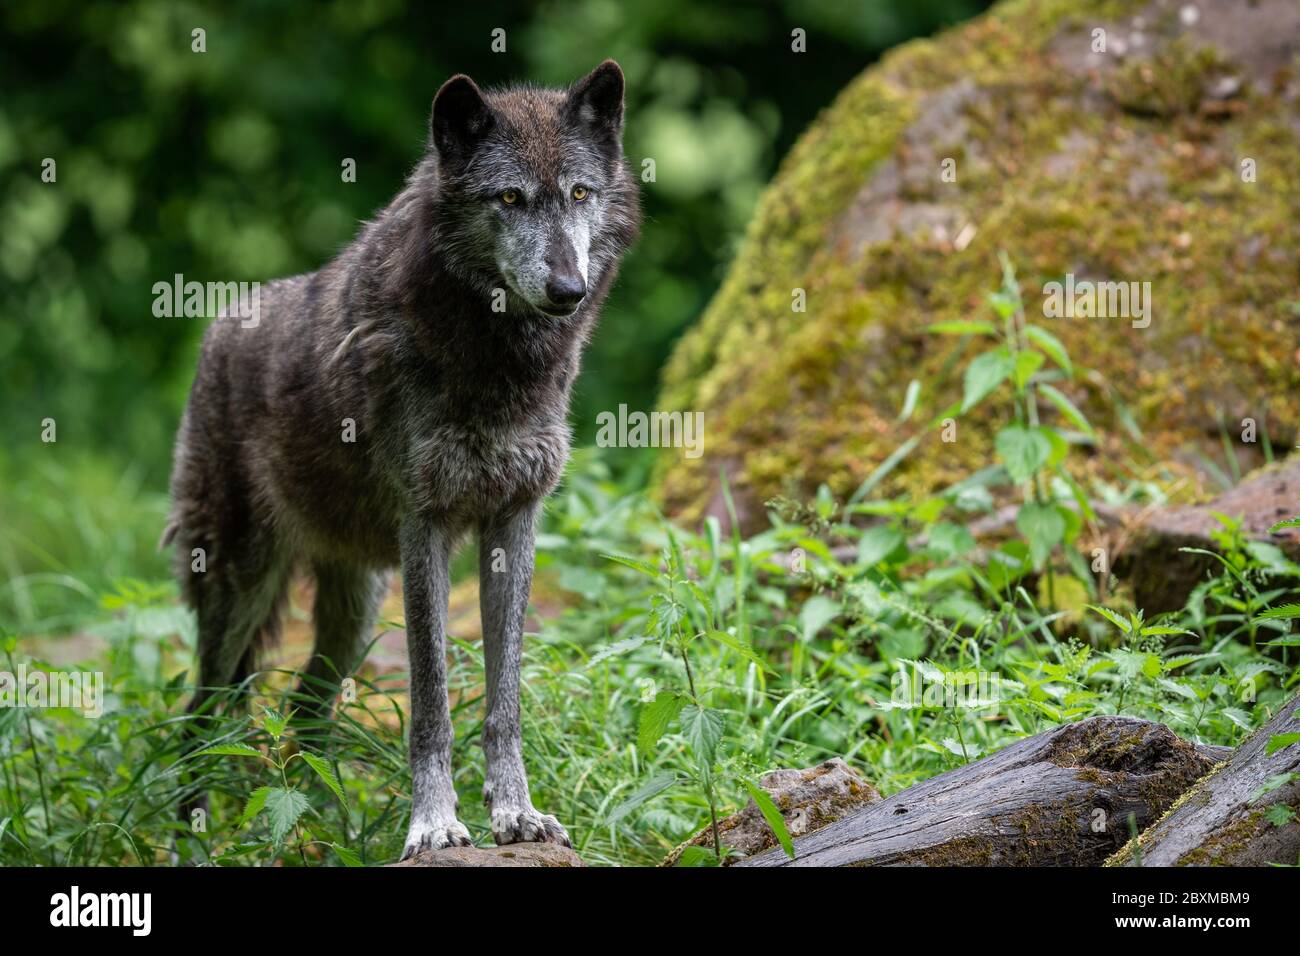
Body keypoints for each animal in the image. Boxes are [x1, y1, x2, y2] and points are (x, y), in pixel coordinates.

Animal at [163, 61, 639, 857]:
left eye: (578, 194)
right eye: (509, 198)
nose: (568, 290)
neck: (499, 363)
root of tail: (219, 326)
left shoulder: (515, 520)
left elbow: (504, 700)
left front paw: (516, 813)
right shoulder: (427, 527)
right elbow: (431, 701)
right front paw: (435, 823)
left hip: (353, 614)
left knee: (305, 712)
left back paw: (311, 831)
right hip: (239, 588)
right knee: (201, 714)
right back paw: (194, 836)